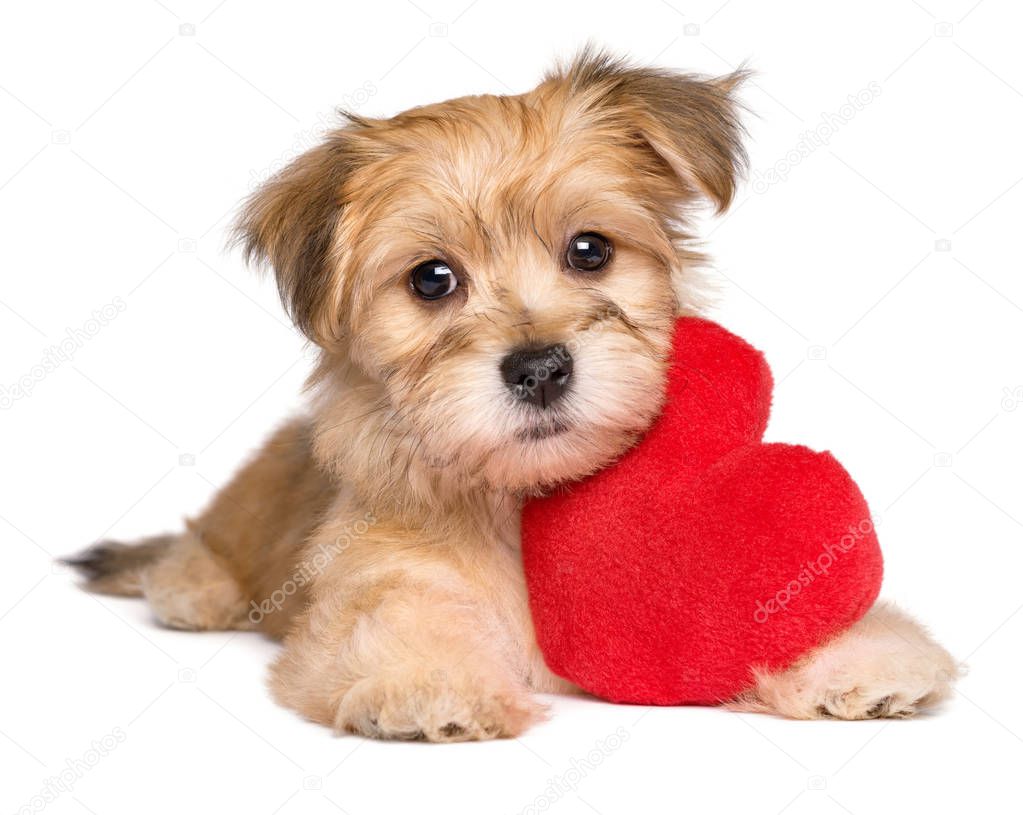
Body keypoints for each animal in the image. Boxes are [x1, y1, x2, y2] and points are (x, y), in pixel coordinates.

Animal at [63, 49, 957, 736]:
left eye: (590, 250)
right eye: (431, 279)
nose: (539, 368)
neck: (519, 498)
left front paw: (857, 654)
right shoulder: (380, 576)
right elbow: (393, 621)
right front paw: (426, 682)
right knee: (200, 545)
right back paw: (193, 584)